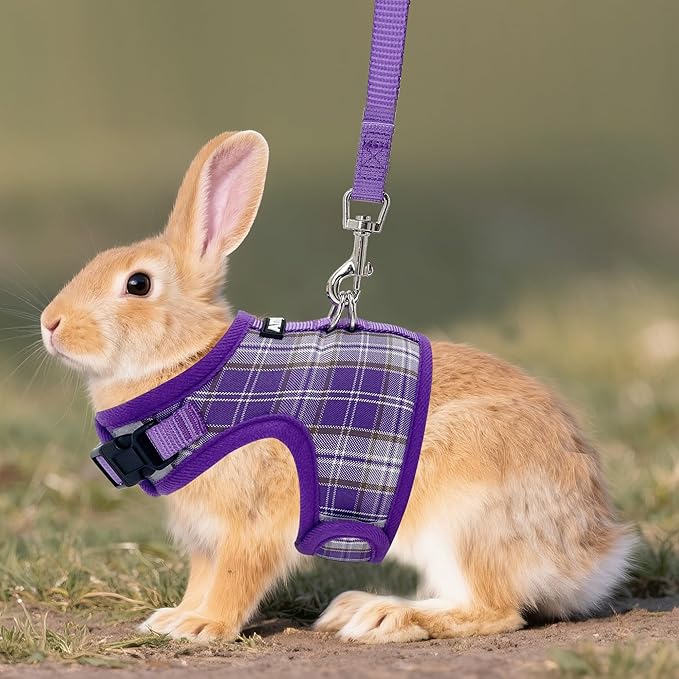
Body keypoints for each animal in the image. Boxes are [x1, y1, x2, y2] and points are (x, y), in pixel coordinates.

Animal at [40, 130, 635, 644]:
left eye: (137, 284)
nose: (51, 323)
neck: (191, 363)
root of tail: (593, 551)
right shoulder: (204, 535)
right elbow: (201, 576)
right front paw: (174, 617)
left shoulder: (253, 522)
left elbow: (235, 576)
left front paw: (203, 627)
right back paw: (355, 607)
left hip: (460, 516)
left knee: (495, 609)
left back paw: (384, 617)